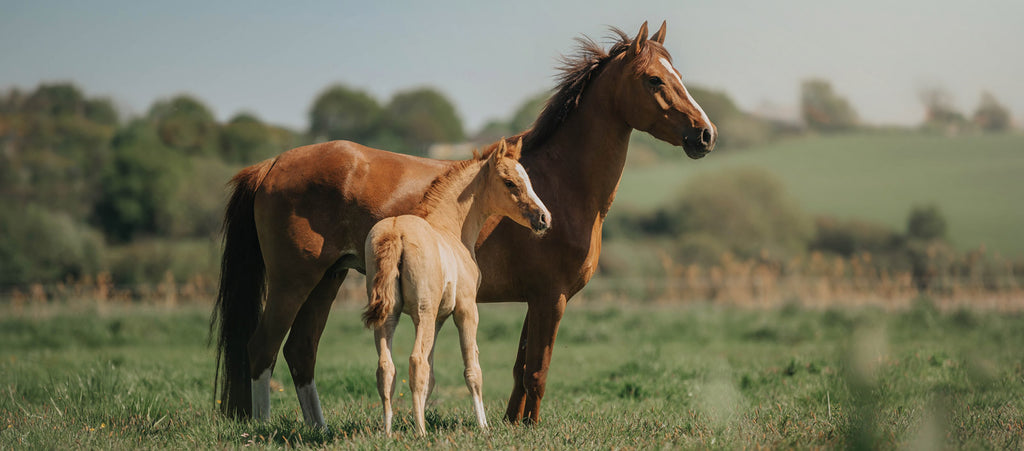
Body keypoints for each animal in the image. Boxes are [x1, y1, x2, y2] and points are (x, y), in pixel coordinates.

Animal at [362, 139, 552, 434]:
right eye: (510, 182)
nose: (543, 218)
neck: (450, 227)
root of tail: (396, 232)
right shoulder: (466, 310)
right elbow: (472, 369)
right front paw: (484, 426)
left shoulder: (440, 318)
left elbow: (432, 374)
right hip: (423, 313)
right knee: (415, 362)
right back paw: (420, 432)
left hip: (389, 315)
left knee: (386, 367)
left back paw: (388, 432)